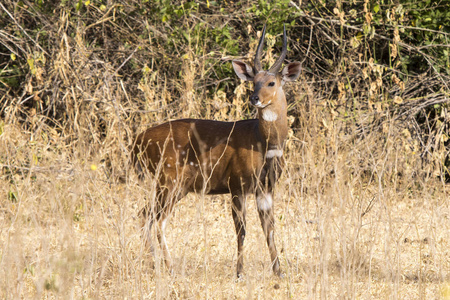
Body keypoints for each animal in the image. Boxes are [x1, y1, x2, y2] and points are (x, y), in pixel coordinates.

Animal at [133, 24, 302, 278]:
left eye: (271, 83)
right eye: (254, 81)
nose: (254, 98)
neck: (263, 144)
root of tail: (140, 139)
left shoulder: (265, 188)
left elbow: (269, 229)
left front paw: (279, 272)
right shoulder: (237, 184)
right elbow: (242, 231)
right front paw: (240, 273)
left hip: (172, 186)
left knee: (145, 215)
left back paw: (154, 264)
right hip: (169, 180)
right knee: (158, 220)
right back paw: (170, 268)